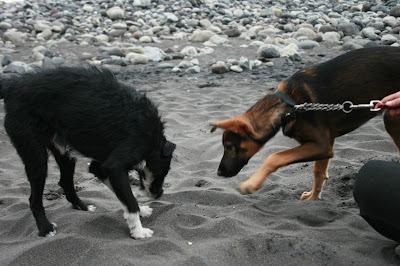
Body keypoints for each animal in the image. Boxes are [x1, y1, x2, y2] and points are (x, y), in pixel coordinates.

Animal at [0, 67, 175, 239]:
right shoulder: (115, 167)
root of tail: (13, 85)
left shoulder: (101, 167)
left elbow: (126, 196)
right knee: (34, 199)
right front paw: (138, 231)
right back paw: (46, 228)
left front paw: (141, 211)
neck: (154, 139)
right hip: (35, 155)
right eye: (162, 173)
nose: (159, 195)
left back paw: (82, 206)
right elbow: (130, 200)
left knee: (66, 182)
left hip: (64, 152)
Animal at [211, 45, 398, 200]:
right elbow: (318, 172)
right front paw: (313, 197)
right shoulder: (325, 144)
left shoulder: (321, 145)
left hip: (392, 117)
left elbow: (274, 157)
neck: (288, 105)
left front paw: (251, 184)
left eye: (229, 147)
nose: (219, 172)